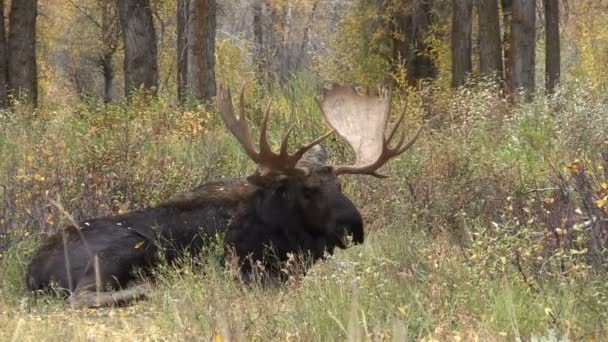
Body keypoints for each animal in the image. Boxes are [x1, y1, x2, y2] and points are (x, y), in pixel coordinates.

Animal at [25, 85, 422, 308]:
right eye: (309, 191)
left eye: (340, 187)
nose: (354, 226)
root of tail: (32, 273)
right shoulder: (254, 272)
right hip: (123, 249)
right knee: (81, 296)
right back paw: (151, 289)